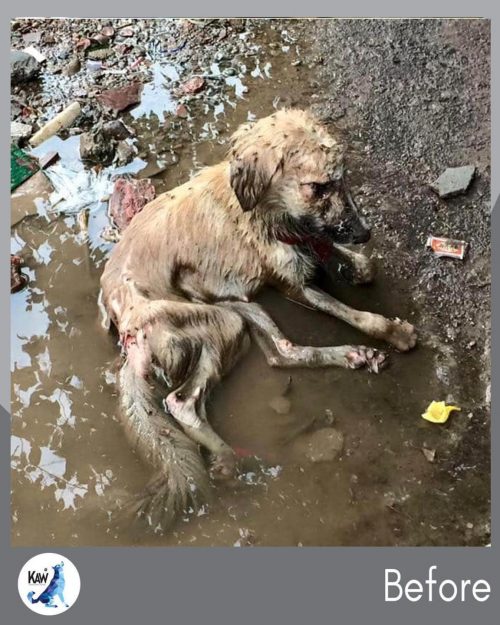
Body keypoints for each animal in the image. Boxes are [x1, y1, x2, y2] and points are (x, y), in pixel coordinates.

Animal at [99, 107, 416, 528]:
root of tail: (128, 334)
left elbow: (350, 262)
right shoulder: (294, 286)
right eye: (318, 187)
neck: (268, 212)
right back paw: (226, 457)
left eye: (343, 177)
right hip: (223, 319)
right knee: (182, 402)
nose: (365, 234)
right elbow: (356, 314)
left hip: (241, 310)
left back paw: (354, 355)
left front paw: (356, 266)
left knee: (282, 352)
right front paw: (394, 332)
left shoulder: (306, 251)